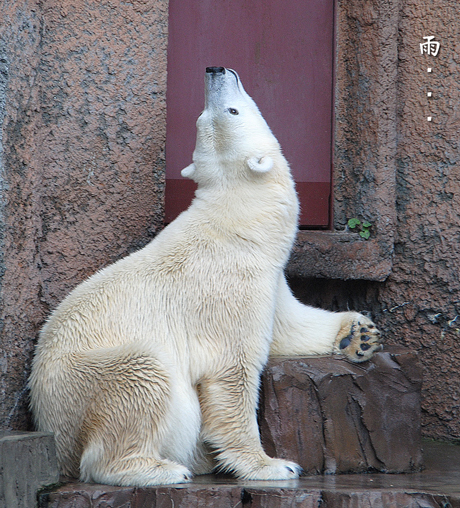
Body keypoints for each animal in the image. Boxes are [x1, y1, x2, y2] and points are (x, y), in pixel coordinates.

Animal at [27, 65, 380, 486]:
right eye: (231, 110)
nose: (215, 69)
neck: (241, 224)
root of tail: (48, 425)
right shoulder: (228, 287)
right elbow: (231, 371)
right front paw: (272, 464)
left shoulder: (267, 275)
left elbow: (289, 325)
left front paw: (359, 335)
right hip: (80, 381)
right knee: (138, 376)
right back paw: (160, 469)